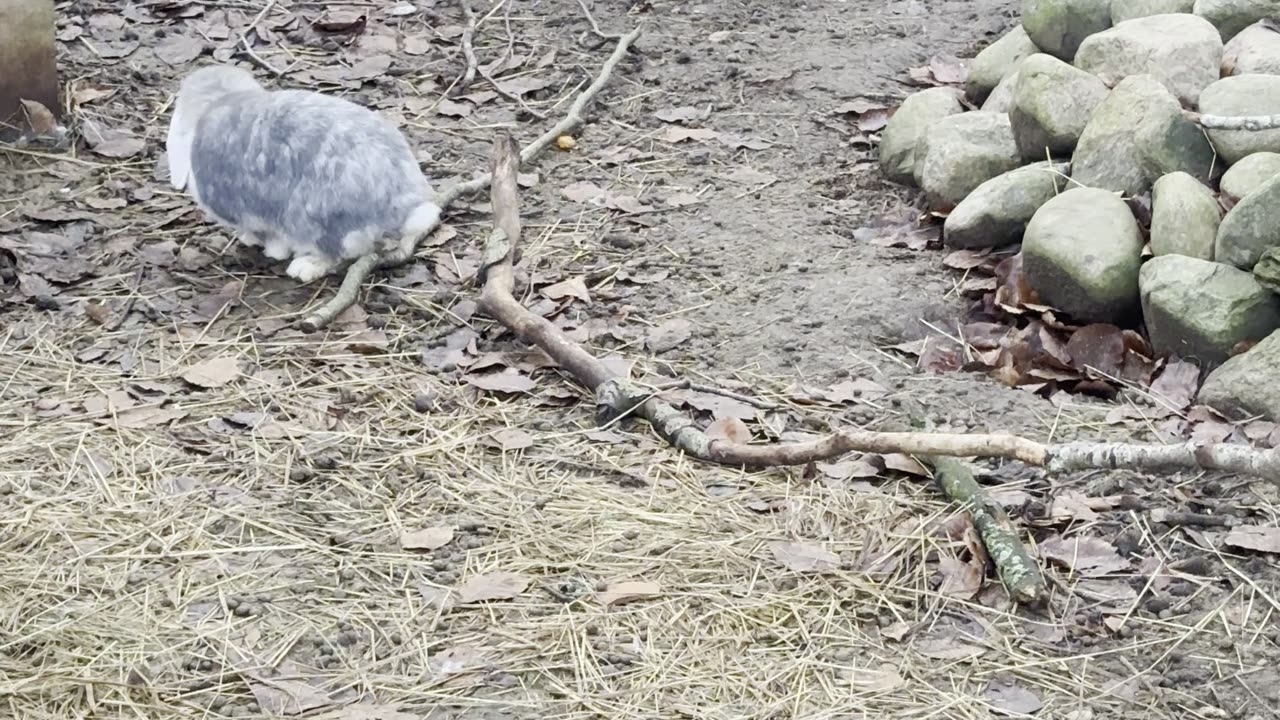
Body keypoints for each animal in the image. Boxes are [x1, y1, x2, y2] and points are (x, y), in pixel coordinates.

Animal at [165, 64, 441, 283]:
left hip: (316, 223)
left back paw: (305, 267)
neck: (221, 99)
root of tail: (402, 207)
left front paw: (258, 245)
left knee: (338, 255)